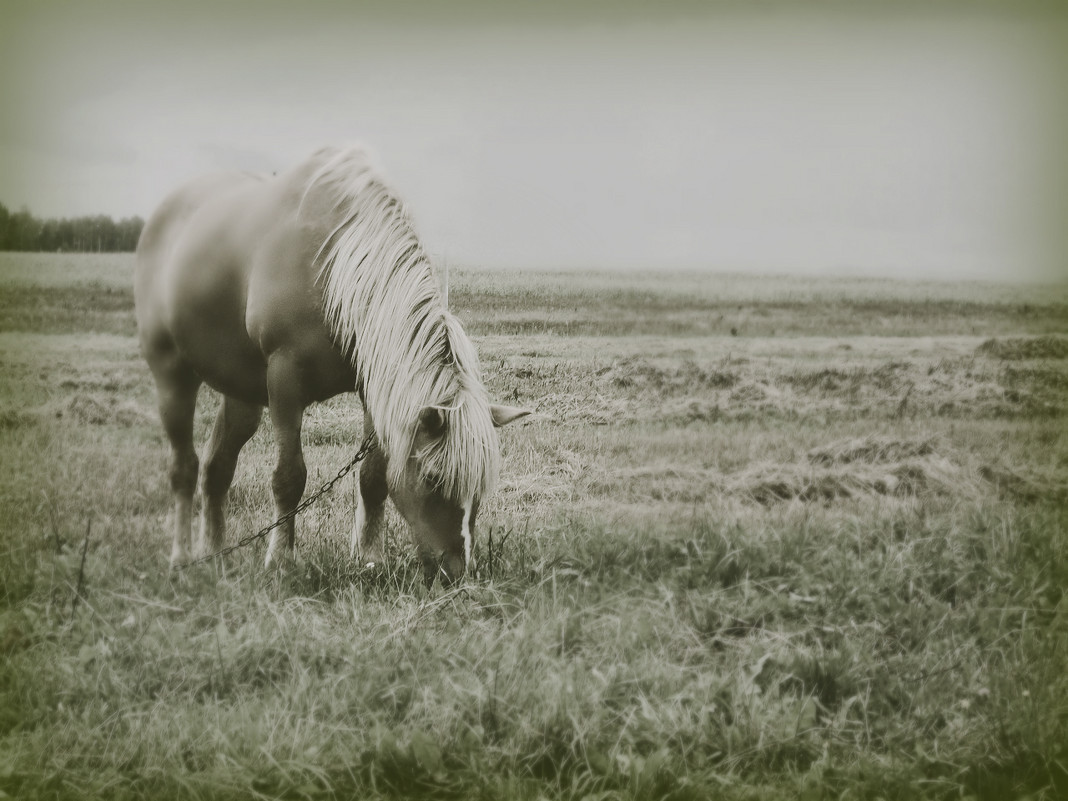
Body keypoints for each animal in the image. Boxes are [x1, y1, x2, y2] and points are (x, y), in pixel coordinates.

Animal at [136, 144, 529, 585]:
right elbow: (290, 477)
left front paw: (370, 557)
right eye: (432, 477)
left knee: (216, 468)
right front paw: (281, 561)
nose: (456, 573)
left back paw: (216, 556)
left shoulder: (374, 388)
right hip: (173, 376)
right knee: (184, 468)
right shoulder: (284, 381)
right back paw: (182, 557)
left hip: (241, 395)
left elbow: (373, 477)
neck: (335, 268)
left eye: (480, 486)